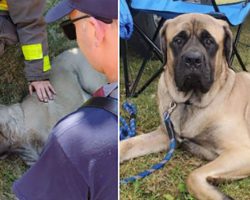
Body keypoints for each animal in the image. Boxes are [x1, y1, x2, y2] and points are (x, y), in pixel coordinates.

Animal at [120, 13, 250, 199]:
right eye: (178, 40)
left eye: (209, 41)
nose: (193, 59)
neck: (190, 102)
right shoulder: (165, 135)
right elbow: (127, 144)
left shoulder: (242, 151)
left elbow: (193, 176)